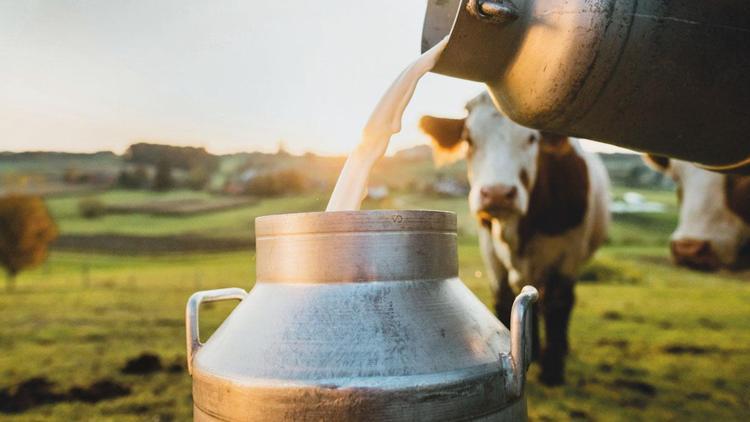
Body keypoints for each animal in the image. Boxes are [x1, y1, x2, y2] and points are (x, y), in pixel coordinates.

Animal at [420, 93, 612, 386]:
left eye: (532, 138)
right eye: (468, 139)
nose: (498, 194)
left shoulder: (569, 253)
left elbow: (559, 303)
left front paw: (553, 370)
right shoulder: (489, 249)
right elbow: (503, 298)